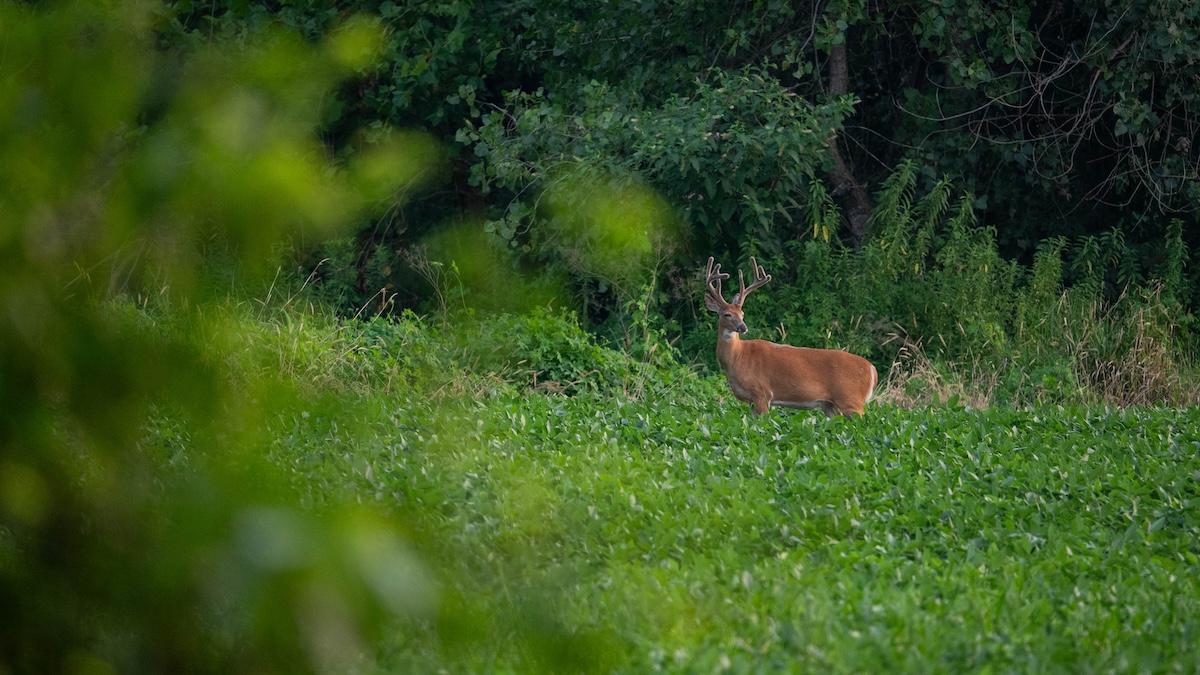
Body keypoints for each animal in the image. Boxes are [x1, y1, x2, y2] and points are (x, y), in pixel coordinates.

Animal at [704, 256, 877, 417]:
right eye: (727, 314)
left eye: (742, 314)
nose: (743, 327)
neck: (737, 357)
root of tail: (872, 370)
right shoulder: (751, 400)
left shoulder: (761, 392)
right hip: (830, 406)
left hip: (851, 400)